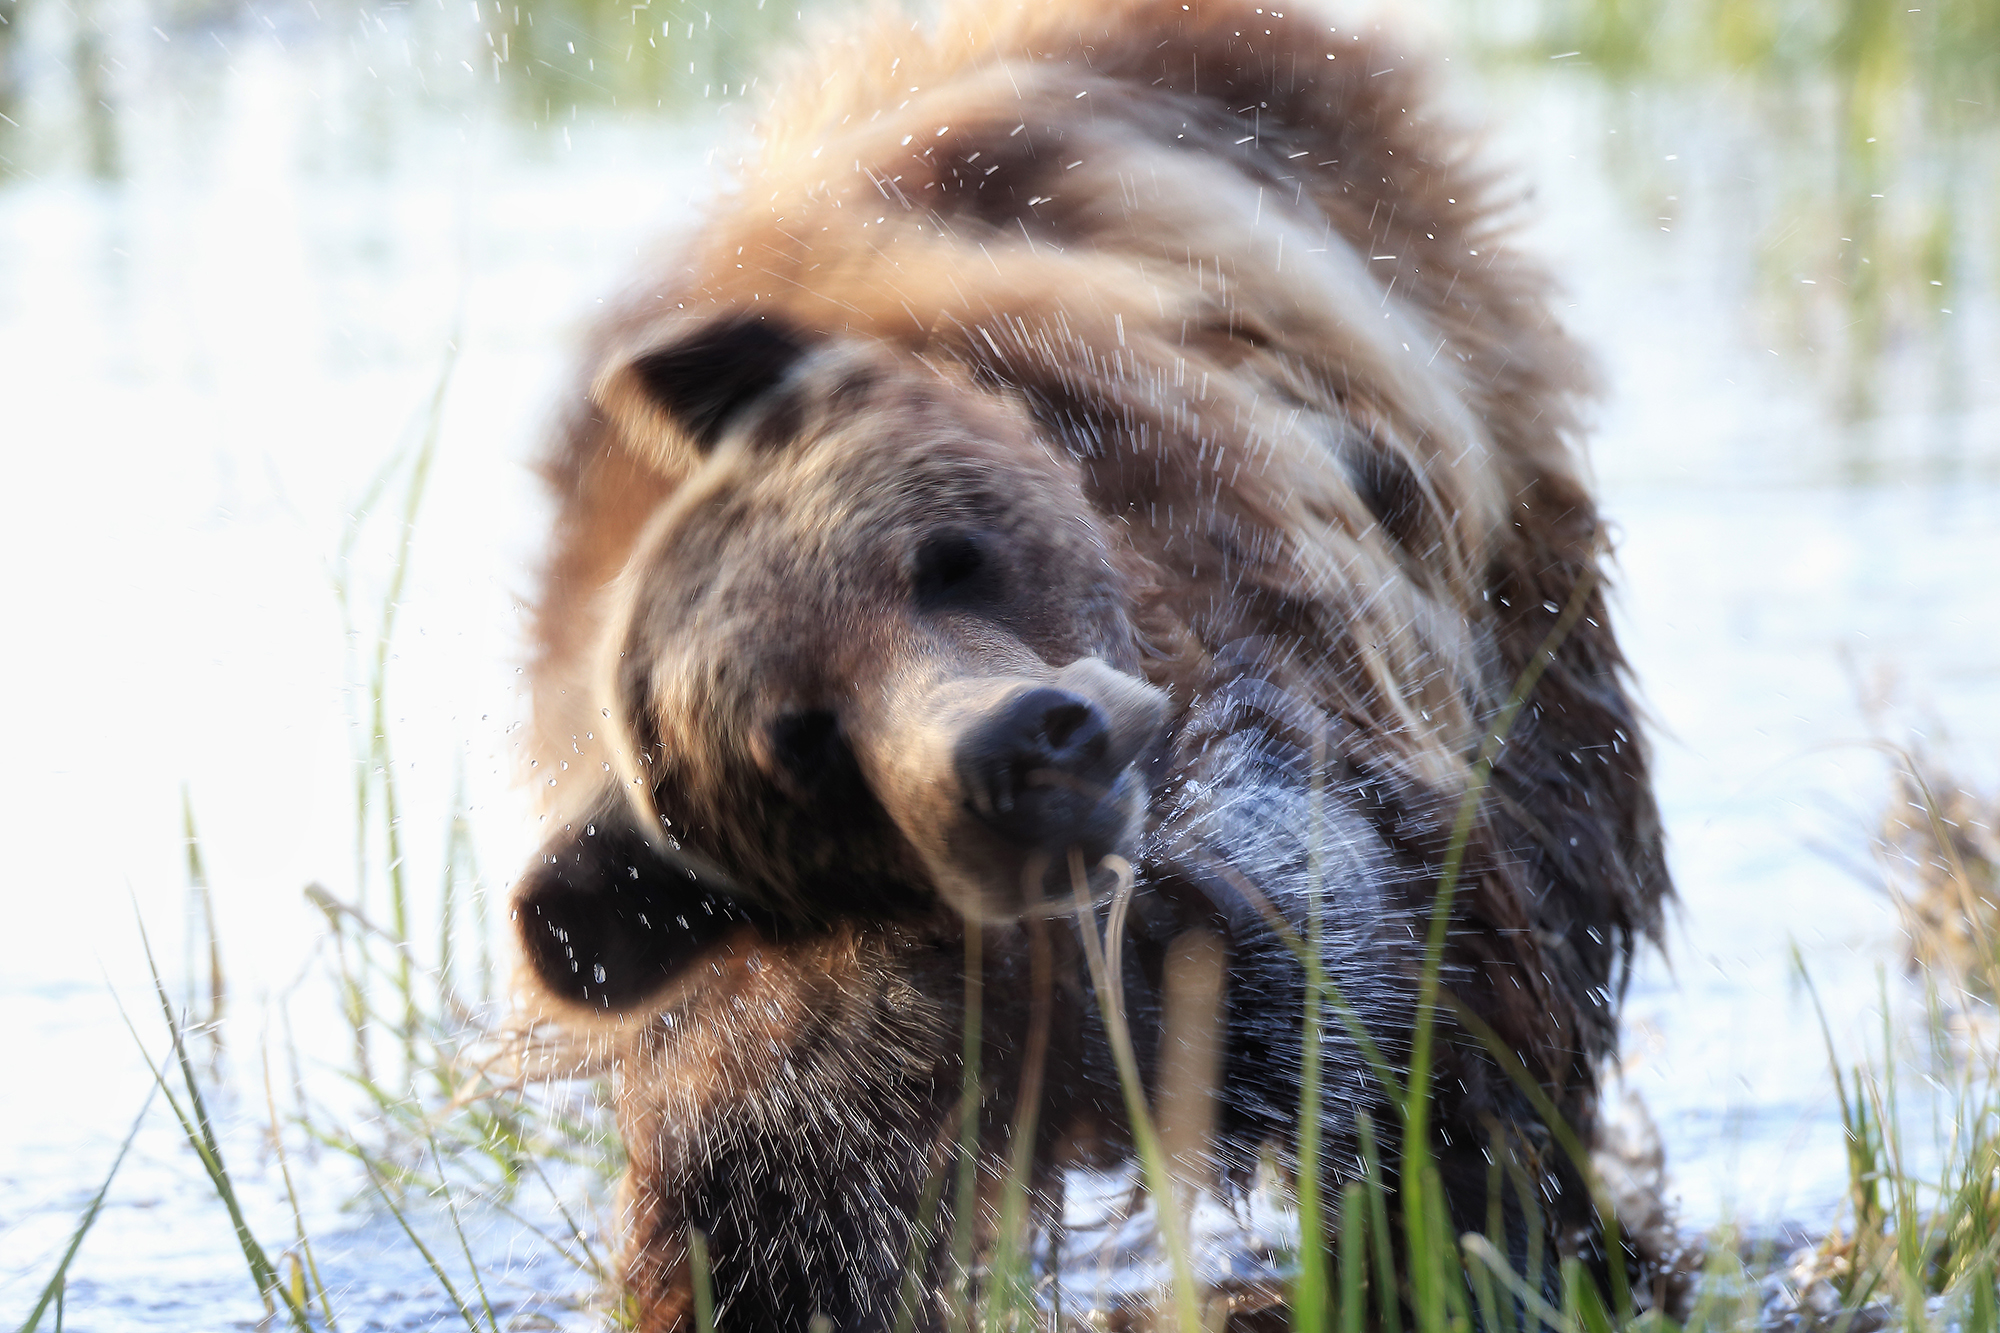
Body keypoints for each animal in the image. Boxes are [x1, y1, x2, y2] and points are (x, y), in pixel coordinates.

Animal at [508, 0, 1673, 1328]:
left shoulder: (1299, 822)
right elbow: (760, 1242)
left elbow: (1431, 1080)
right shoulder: (821, 1074)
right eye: (799, 741)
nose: (1022, 745)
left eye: (946, 560)